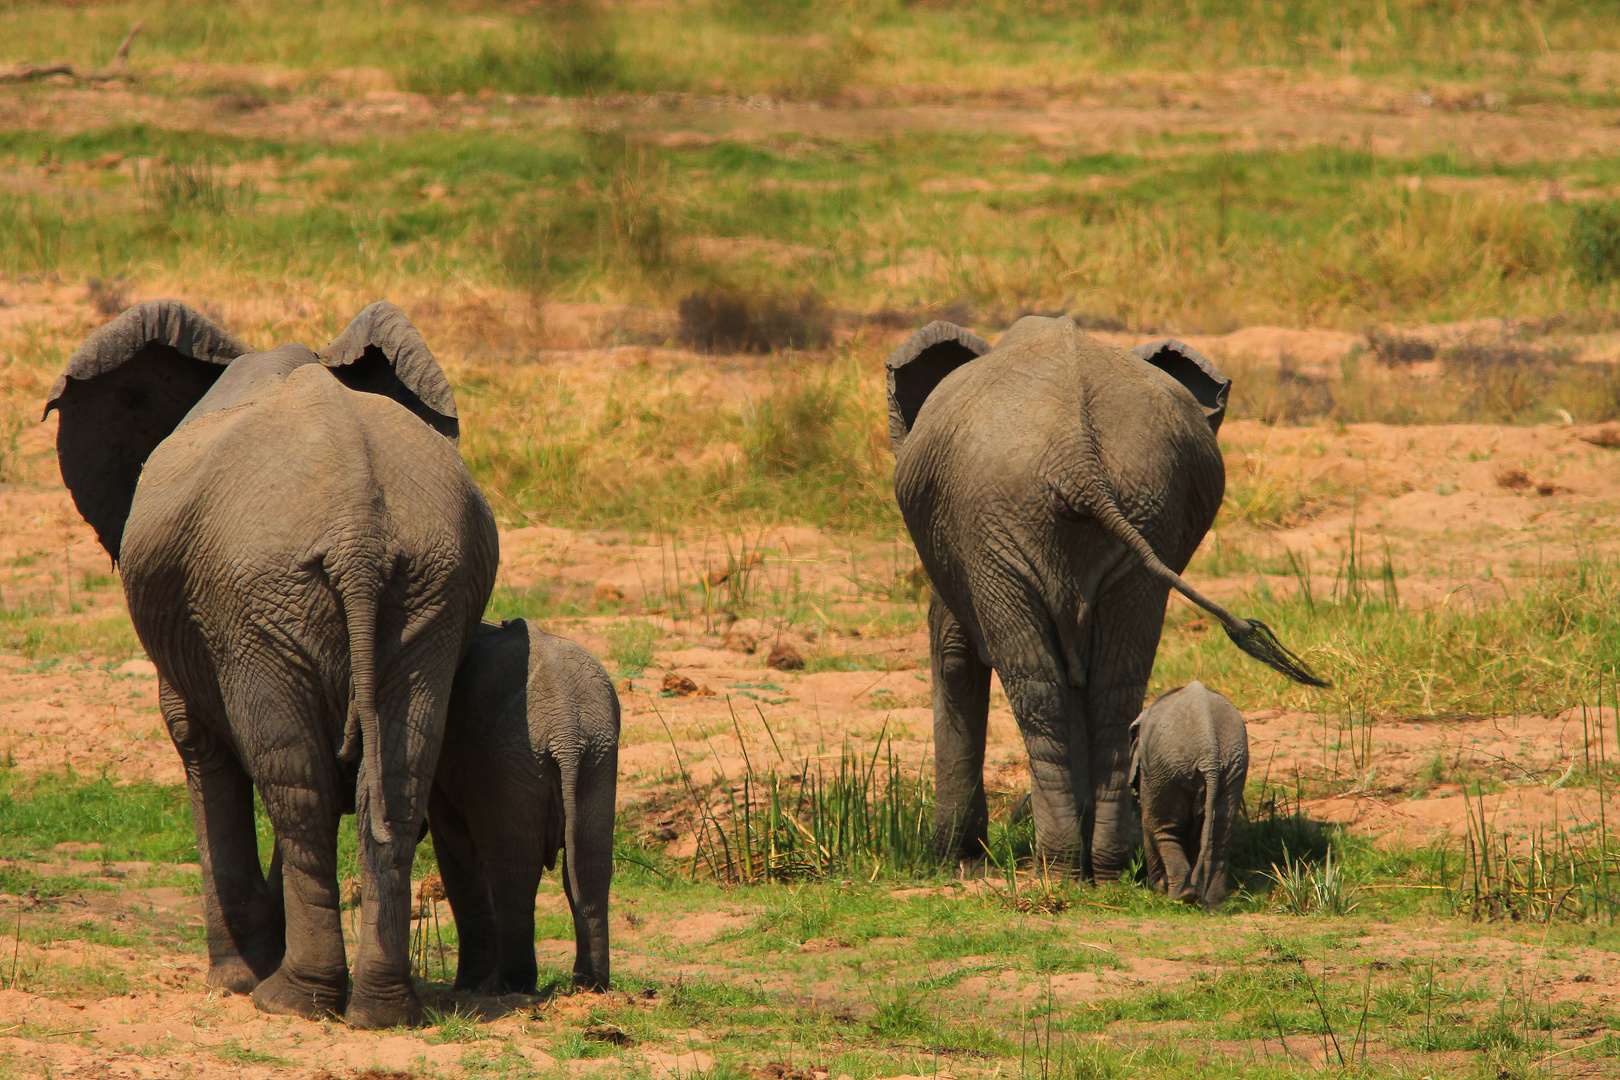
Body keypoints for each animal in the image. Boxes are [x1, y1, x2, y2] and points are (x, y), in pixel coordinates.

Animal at [45, 299, 498, 1029]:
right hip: (427, 590)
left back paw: (290, 1000)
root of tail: (358, 533)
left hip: (257, 600)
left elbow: (198, 743)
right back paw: (380, 1011)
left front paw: (232, 980)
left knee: (296, 784)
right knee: (391, 779)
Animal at [427, 621, 615, 990]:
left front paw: (465, 987)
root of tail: (566, 731)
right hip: (597, 756)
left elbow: (455, 847)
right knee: (589, 864)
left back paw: (503, 986)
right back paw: (589, 984)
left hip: (508, 762)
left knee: (514, 870)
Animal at [887, 317, 1328, 880]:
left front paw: (953, 860)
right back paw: (1105, 866)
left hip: (1000, 521)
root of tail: (1080, 461)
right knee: (1116, 681)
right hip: (1146, 506)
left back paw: (1059, 866)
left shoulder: (962, 547)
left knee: (1040, 689)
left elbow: (954, 655)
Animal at [1134, 689, 1244, 906]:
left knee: (1162, 827)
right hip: (1233, 767)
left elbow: (1148, 821)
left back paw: (1179, 896)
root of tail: (1210, 755)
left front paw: (1157, 888)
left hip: (1167, 768)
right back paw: (1211, 902)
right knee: (1221, 832)